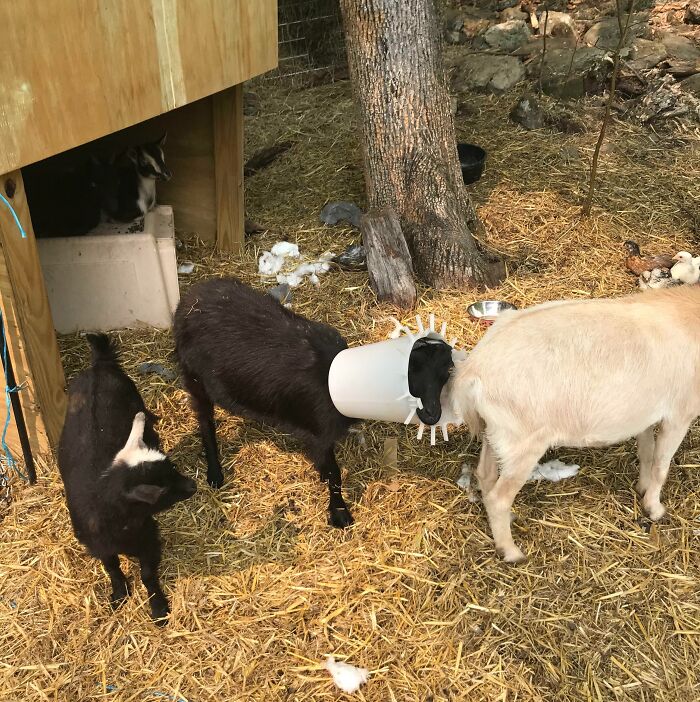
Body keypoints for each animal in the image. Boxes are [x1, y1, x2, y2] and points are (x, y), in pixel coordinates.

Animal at [58, 334, 196, 623]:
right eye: (163, 489)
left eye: (173, 468)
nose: (193, 485)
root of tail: (99, 366)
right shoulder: (98, 545)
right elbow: (111, 567)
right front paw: (120, 594)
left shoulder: (148, 538)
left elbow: (147, 574)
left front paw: (158, 608)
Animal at [449, 285, 700, 563]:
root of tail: (473, 369)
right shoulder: (680, 413)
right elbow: (660, 465)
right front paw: (654, 509)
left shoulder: (644, 414)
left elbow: (646, 452)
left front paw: (642, 489)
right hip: (523, 442)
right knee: (498, 497)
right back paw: (511, 551)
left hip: (495, 432)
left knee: (485, 474)